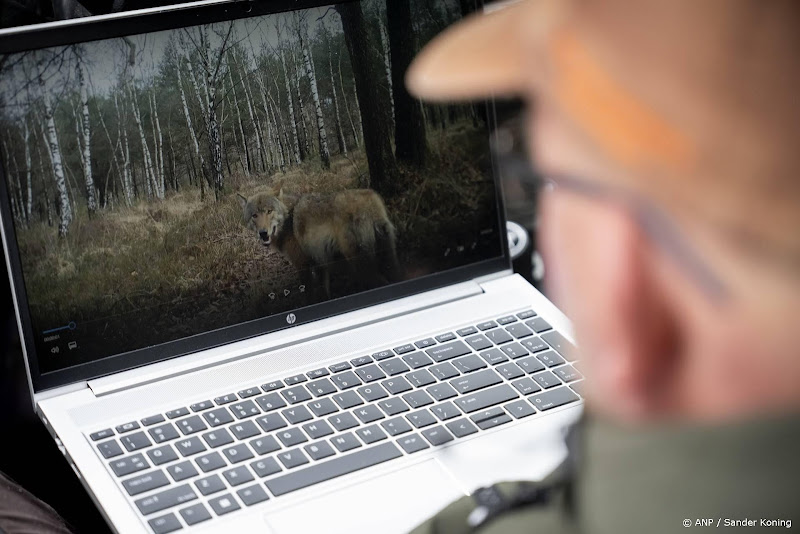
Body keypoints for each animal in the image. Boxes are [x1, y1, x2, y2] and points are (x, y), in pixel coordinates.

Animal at [237, 188, 400, 297]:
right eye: (254, 215)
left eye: (269, 211)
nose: (263, 233)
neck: (288, 218)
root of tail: (369, 200)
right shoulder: (320, 261)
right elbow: (324, 290)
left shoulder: (303, 265)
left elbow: (309, 294)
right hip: (389, 259)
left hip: (361, 265)